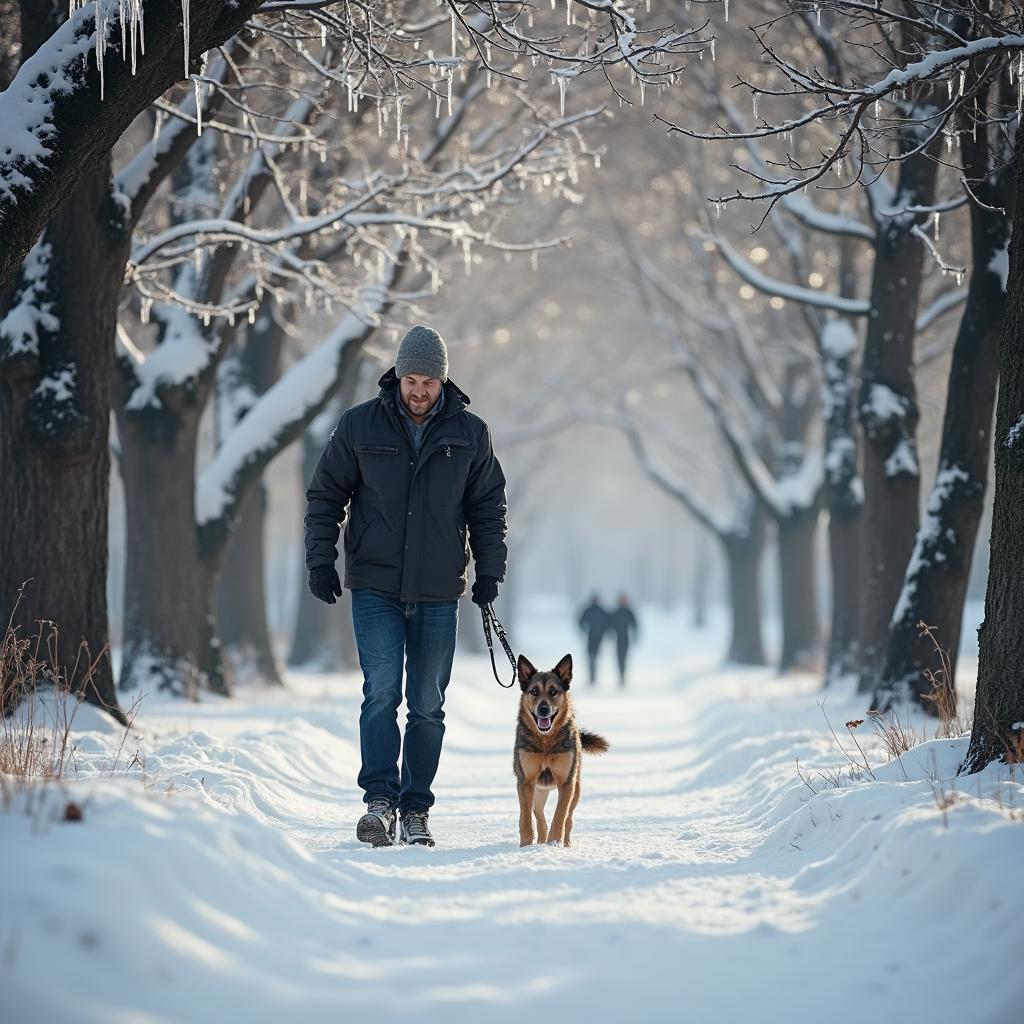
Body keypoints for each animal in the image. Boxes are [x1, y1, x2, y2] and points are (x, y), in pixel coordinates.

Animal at [516, 655, 602, 847]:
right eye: (534, 691)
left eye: (553, 691)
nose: (543, 709)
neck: (546, 742)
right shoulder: (526, 780)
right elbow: (525, 817)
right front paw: (526, 844)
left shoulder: (566, 782)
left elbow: (560, 816)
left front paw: (554, 843)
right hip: (538, 789)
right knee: (538, 814)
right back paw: (541, 840)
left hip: (575, 789)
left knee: (568, 819)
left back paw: (565, 843)